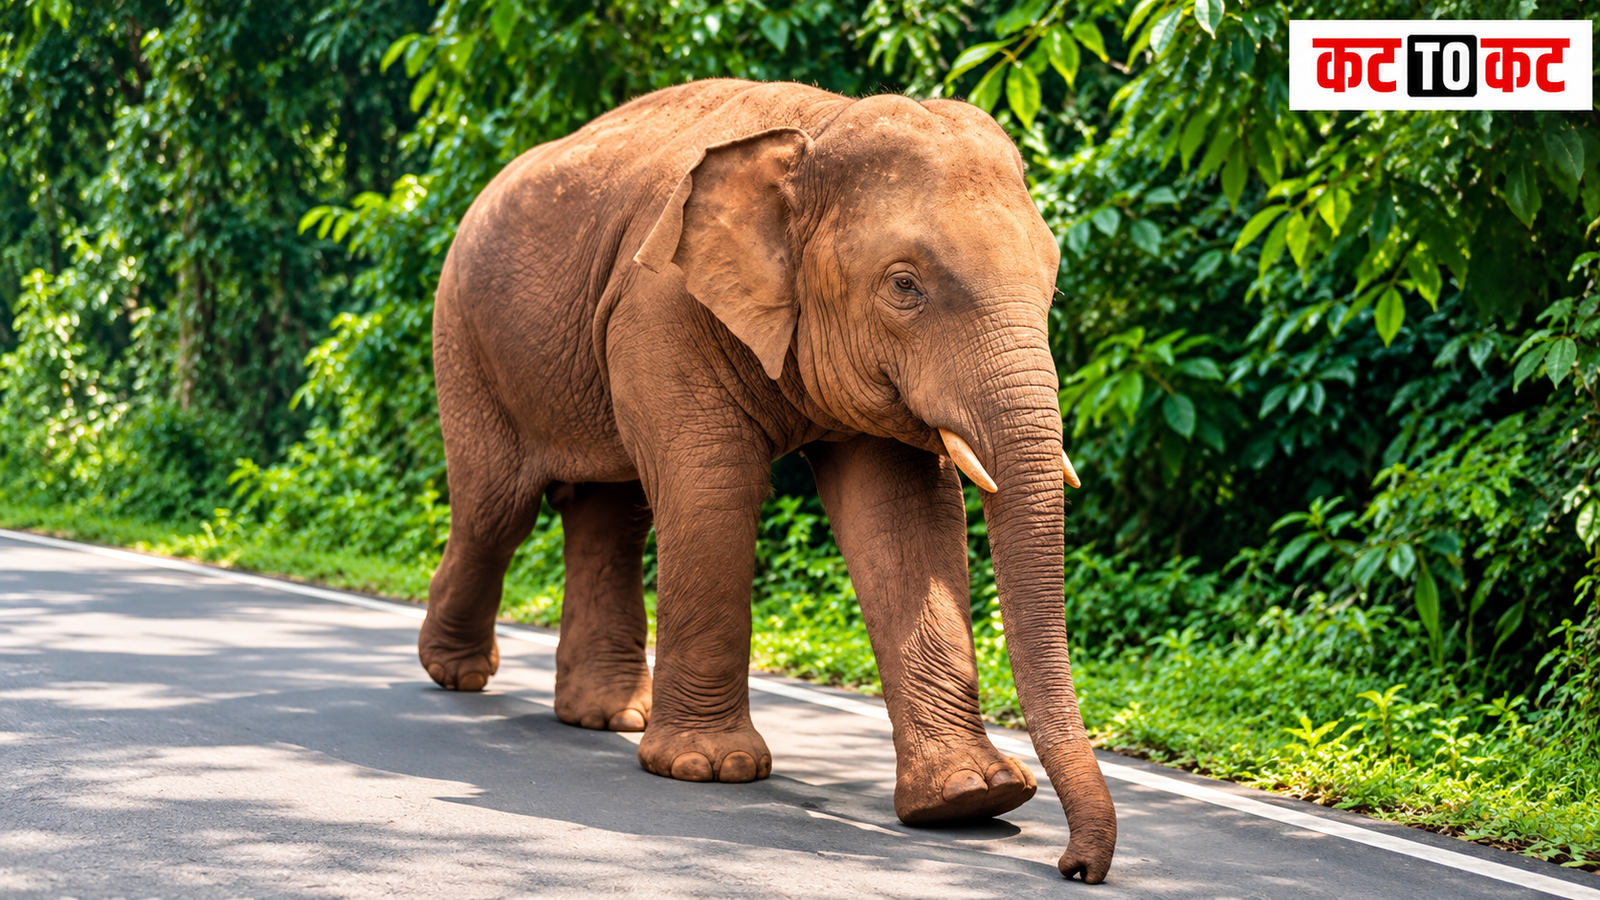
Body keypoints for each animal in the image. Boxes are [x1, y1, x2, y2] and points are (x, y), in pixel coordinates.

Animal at [419, 78, 1117, 882]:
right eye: (904, 286)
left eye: (1053, 282)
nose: (1073, 866)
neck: (817, 128)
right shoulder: (662, 307)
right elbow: (711, 487)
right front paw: (709, 770)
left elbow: (901, 518)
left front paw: (974, 797)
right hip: (465, 335)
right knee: (497, 507)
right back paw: (458, 676)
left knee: (610, 511)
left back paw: (608, 718)